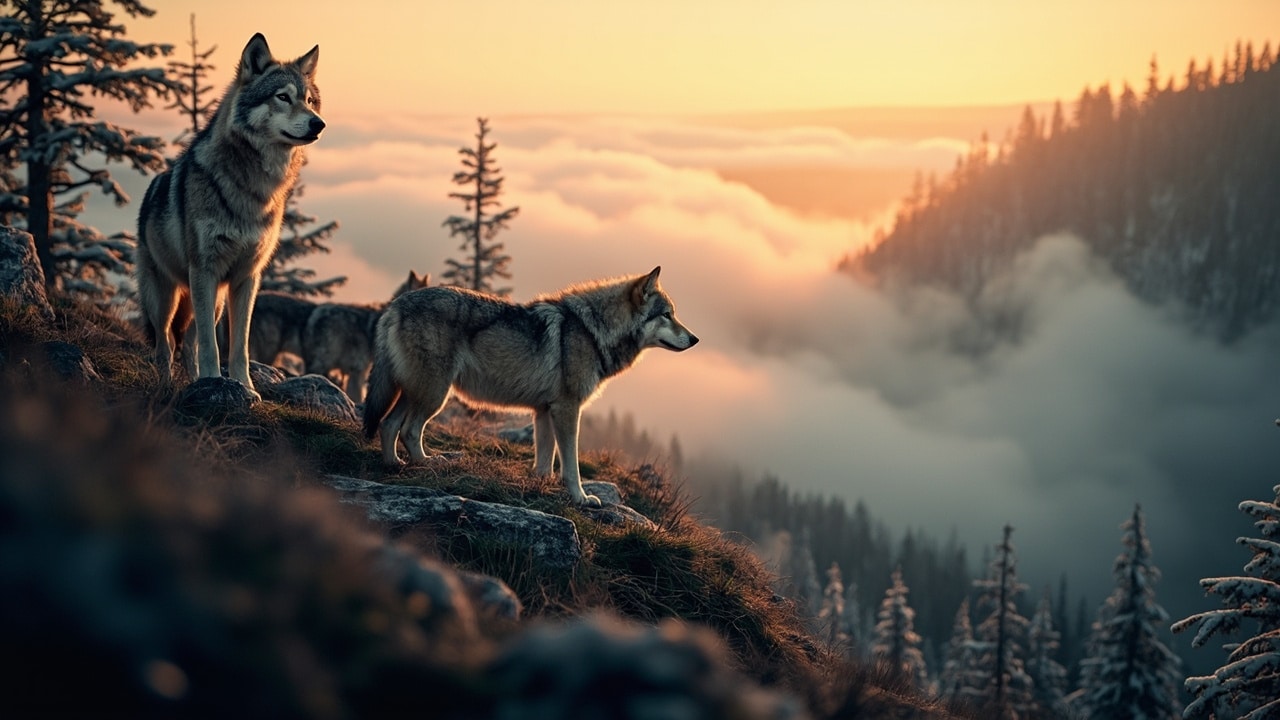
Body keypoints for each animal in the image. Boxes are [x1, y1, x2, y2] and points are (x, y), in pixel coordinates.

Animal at [135, 33, 324, 400]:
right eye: (283, 97)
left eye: (309, 101)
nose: (318, 123)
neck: (253, 190)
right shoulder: (205, 270)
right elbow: (212, 345)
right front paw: (216, 383)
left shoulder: (247, 278)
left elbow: (239, 347)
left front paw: (245, 389)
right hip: (165, 297)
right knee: (166, 344)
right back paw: (167, 384)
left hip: (212, 300)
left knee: (189, 342)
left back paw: (196, 380)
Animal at [362, 267, 699, 507]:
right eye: (667, 315)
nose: (695, 339)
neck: (592, 331)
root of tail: (395, 305)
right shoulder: (567, 409)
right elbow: (570, 463)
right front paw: (581, 498)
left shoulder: (543, 411)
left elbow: (545, 460)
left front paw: (541, 485)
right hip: (434, 394)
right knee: (408, 429)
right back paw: (426, 465)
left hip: (413, 391)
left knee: (389, 425)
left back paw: (394, 465)